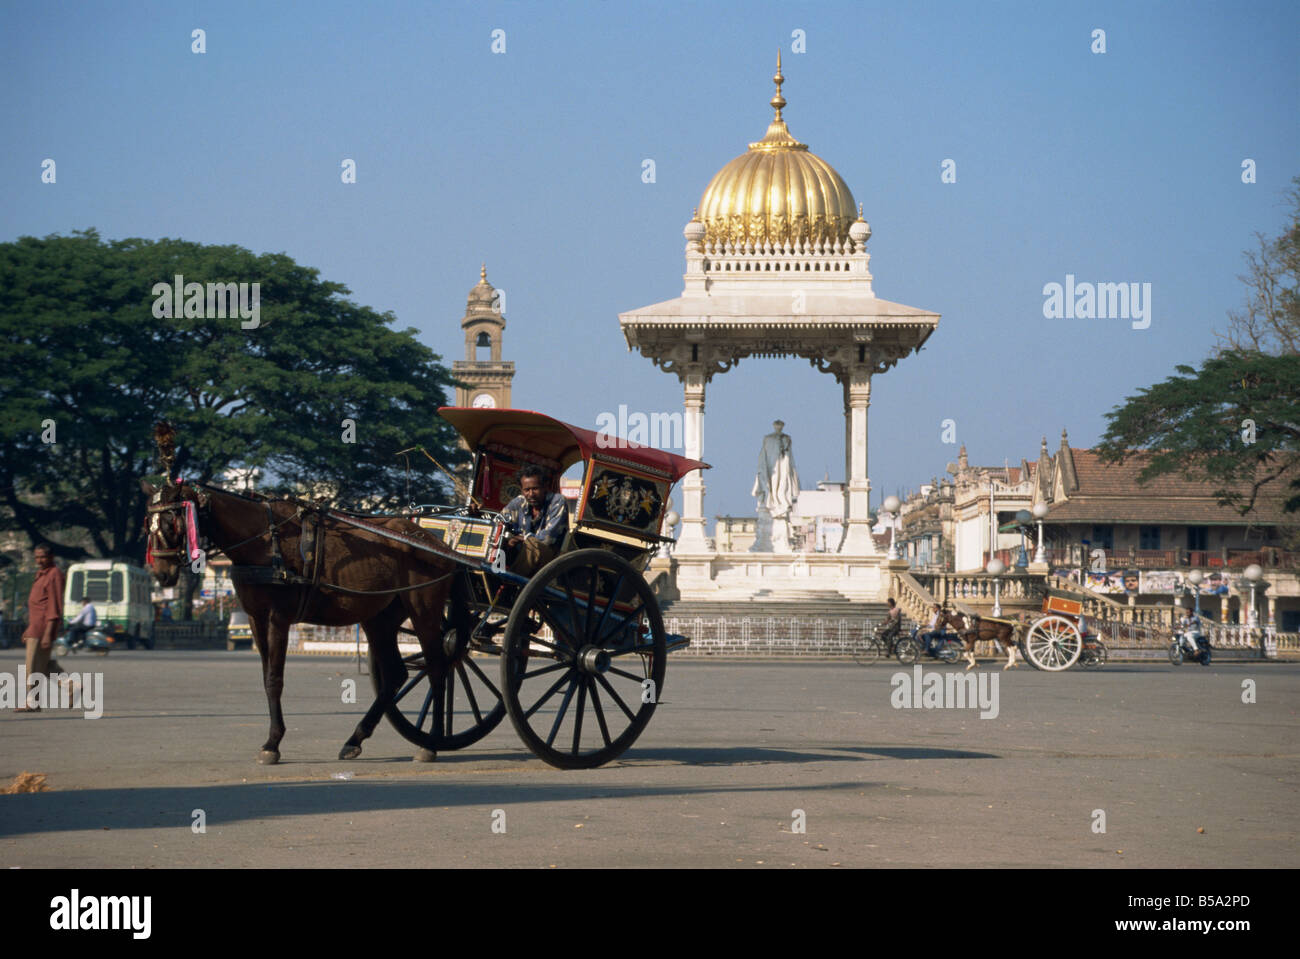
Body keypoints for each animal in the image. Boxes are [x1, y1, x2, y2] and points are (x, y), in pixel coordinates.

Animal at [142, 431, 465, 764]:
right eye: (147, 524)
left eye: (171, 521)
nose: (162, 573)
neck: (265, 540)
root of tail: (437, 544)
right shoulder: (256, 618)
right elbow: (266, 677)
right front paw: (273, 739)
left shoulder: (278, 618)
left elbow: (275, 678)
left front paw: (272, 743)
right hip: (382, 616)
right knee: (396, 674)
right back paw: (356, 738)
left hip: (424, 607)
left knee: (437, 667)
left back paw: (430, 742)